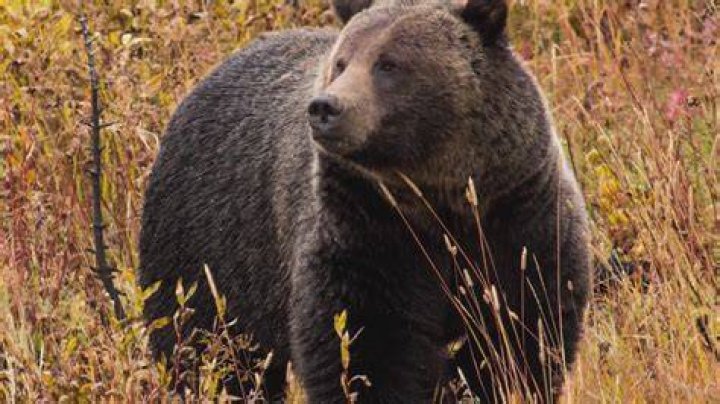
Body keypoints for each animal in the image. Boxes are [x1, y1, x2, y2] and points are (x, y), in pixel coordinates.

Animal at [138, 0, 591, 402]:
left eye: (389, 64)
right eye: (342, 62)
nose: (325, 107)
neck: (438, 200)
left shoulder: (518, 215)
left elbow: (523, 329)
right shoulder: (365, 229)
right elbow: (363, 347)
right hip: (206, 249)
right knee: (207, 350)